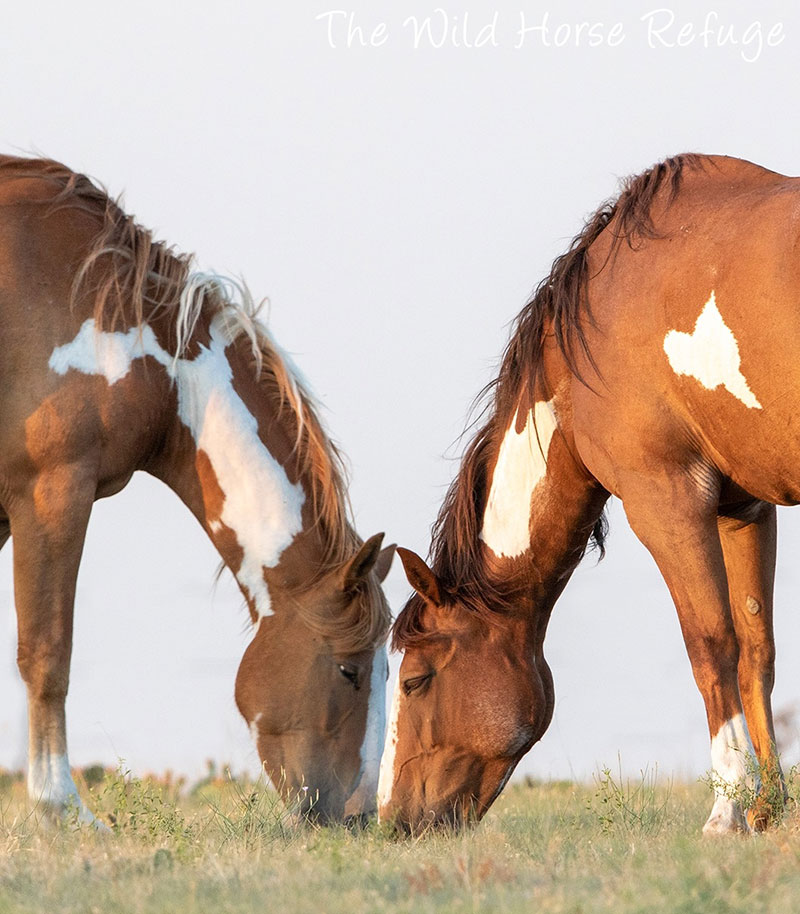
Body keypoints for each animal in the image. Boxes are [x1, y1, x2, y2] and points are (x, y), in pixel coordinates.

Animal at [379, 153, 798, 836]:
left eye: (415, 680)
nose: (391, 821)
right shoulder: (745, 508)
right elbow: (757, 648)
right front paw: (766, 810)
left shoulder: (667, 501)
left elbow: (710, 646)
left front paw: (728, 808)